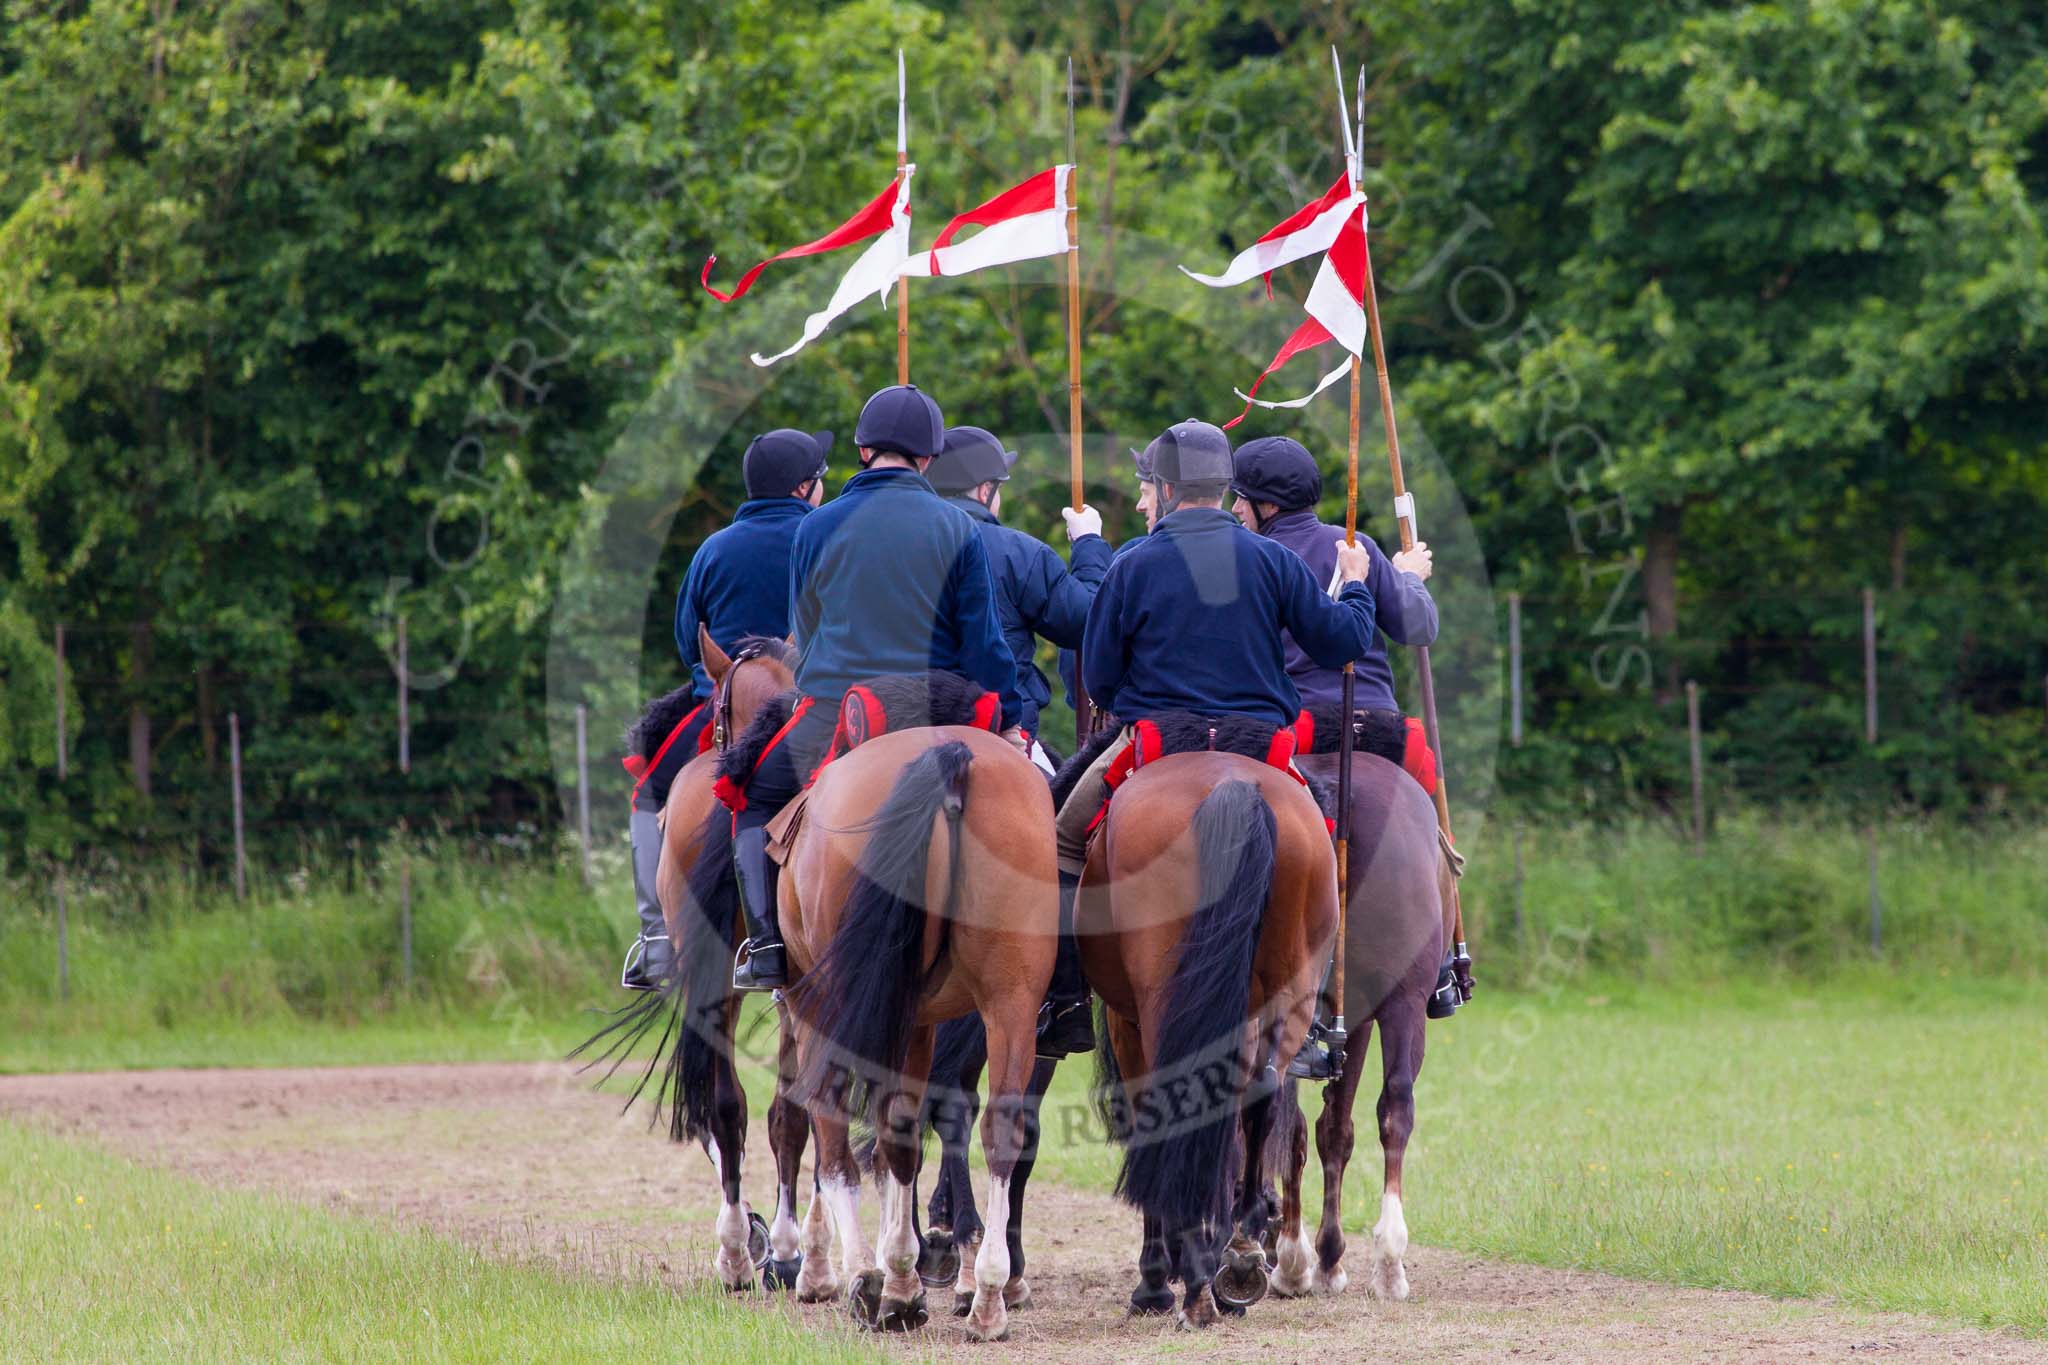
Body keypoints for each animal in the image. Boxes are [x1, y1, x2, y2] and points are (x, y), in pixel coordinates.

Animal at [770, 720, 1056, 1342]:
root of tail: (946, 757)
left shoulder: (814, 1006)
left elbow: (821, 1130)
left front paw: (856, 1274)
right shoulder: (920, 1022)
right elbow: (901, 1133)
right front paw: (905, 1273)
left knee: (837, 1119)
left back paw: (877, 1281)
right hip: (1012, 1003)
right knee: (997, 1128)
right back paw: (988, 1297)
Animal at [1081, 753, 1335, 1326]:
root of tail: (1233, 784)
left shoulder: (1127, 1025)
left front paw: (1155, 1280)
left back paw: (1195, 1279)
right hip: (1289, 991)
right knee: (1261, 1091)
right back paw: (1238, 1251)